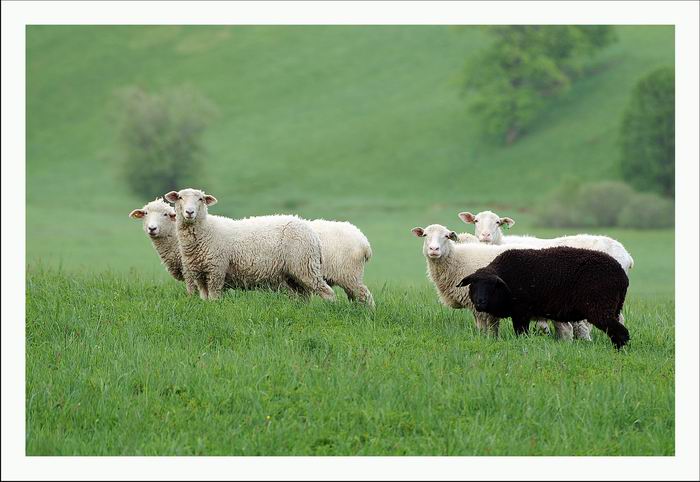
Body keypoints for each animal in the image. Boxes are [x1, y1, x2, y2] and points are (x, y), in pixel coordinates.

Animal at [164, 188, 336, 301]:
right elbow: (204, 297)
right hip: (292, 274)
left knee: (326, 290)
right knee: (303, 295)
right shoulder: (199, 273)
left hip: (304, 265)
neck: (206, 230)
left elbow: (214, 296)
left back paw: (330, 307)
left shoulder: (216, 270)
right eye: (180, 197)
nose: (190, 212)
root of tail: (311, 231)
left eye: (200, 199)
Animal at [411, 224, 573, 339]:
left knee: (567, 329)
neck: (457, 259)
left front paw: (486, 341)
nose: (434, 249)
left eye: (446, 236)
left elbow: (487, 328)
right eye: (425, 235)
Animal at [457, 246, 630, 349]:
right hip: (614, 307)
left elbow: (521, 334)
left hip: (599, 307)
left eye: (493, 286)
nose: (480, 302)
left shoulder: (521, 311)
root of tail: (622, 275)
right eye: (473, 284)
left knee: (621, 332)